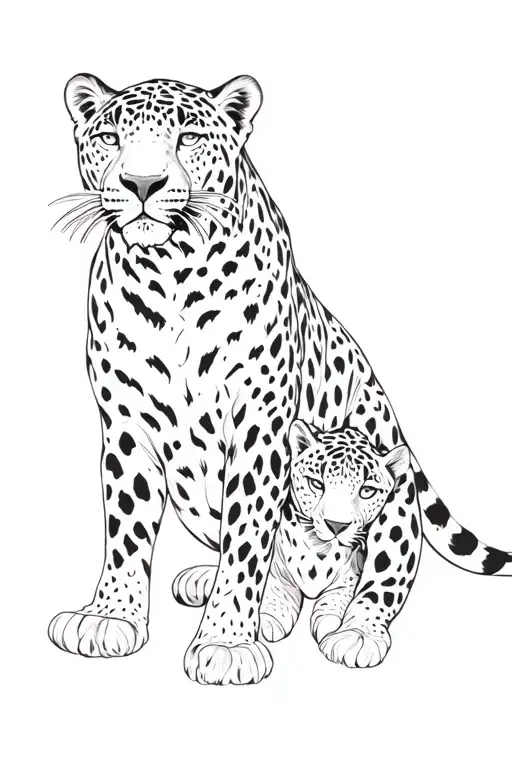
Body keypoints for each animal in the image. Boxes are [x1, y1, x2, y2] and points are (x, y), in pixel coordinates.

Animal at [48, 72, 512, 684]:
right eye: (110, 136)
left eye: (190, 136)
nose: (142, 182)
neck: (167, 273)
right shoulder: (125, 425)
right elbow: (126, 530)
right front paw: (109, 617)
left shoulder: (259, 425)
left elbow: (247, 538)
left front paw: (226, 642)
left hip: (393, 502)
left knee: (382, 574)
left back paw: (354, 629)